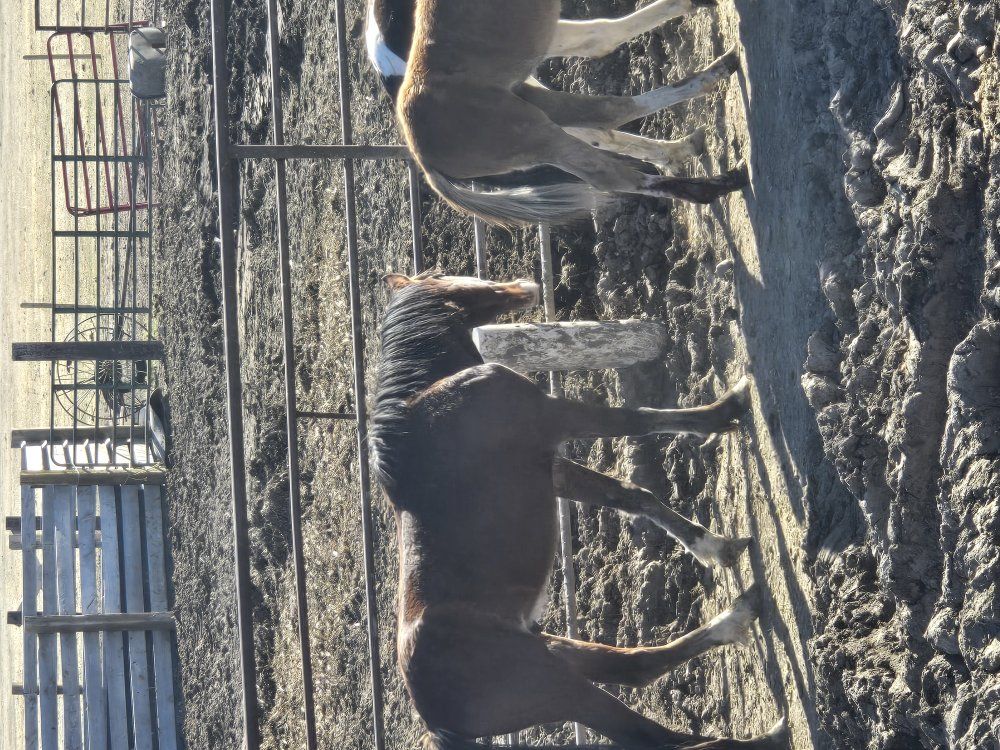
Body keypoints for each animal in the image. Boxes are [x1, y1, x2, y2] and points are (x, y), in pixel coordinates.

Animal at [366, 0, 748, 226]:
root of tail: (421, 155)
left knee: (601, 110)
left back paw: (688, 143)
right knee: (610, 140)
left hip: (537, 107)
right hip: (537, 132)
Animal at [371, 272, 789, 749]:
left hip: (556, 655)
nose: (525, 287)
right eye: (444, 278)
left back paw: (738, 615)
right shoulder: (555, 417)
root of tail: (432, 717)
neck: (429, 402)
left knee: (634, 668)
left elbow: (631, 495)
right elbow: (637, 420)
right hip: (559, 688)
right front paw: (728, 408)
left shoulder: (553, 468)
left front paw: (715, 547)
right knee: (657, 735)